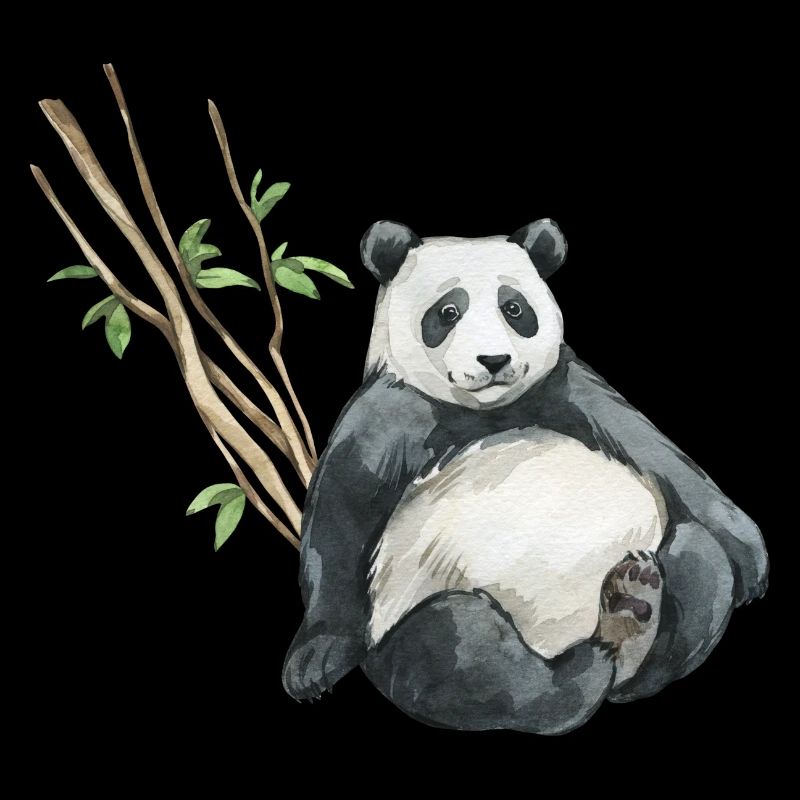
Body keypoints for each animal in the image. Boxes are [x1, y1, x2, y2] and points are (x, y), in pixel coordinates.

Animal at [283, 219, 768, 735]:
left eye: (514, 308)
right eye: (448, 311)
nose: (494, 361)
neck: (488, 410)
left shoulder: (570, 388)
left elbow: (661, 456)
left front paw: (753, 559)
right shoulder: (391, 411)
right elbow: (340, 514)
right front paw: (315, 660)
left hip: (659, 555)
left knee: (701, 564)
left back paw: (636, 621)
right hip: (416, 619)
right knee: (464, 654)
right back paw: (597, 655)